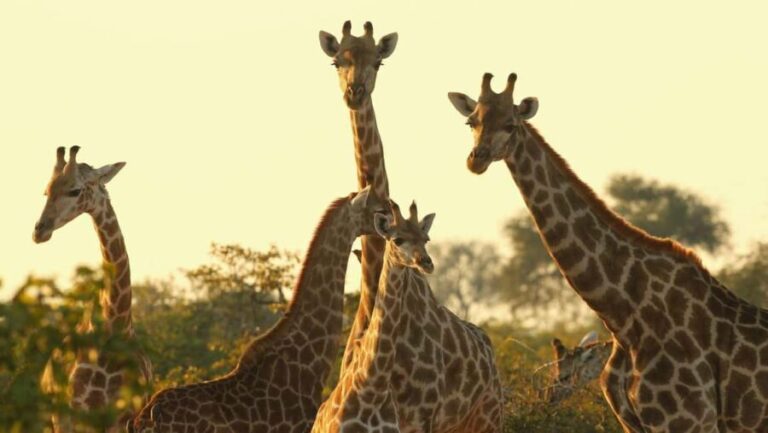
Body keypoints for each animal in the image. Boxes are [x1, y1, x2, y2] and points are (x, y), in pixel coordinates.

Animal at [33, 146, 152, 433]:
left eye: (74, 190)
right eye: (46, 191)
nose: (39, 231)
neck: (115, 328)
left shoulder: (123, 417)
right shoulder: (72, 413)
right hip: (51, 419)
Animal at [448, 72, 768, 432]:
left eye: (510, 124)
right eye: (471, 121)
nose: (477, 158)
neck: (624, 317)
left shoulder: (689, 420)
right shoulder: (633, 421)